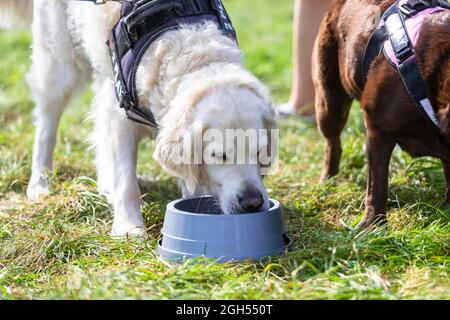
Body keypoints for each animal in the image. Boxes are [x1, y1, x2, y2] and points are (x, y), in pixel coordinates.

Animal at [0, 0, 278, 235]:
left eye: (260, 152)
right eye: (219, 156)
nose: (253, 202)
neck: (199, 61)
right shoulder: (122, 118)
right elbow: (127, 182)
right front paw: (128, 227)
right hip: (60, 66)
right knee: (46, 129)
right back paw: (40, 183)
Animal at [312, 0, 450, 230]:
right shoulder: (378, 129)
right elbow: (377, 184)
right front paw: (372, 226)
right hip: (329, 100)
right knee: (332, 142)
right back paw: (328, 178)